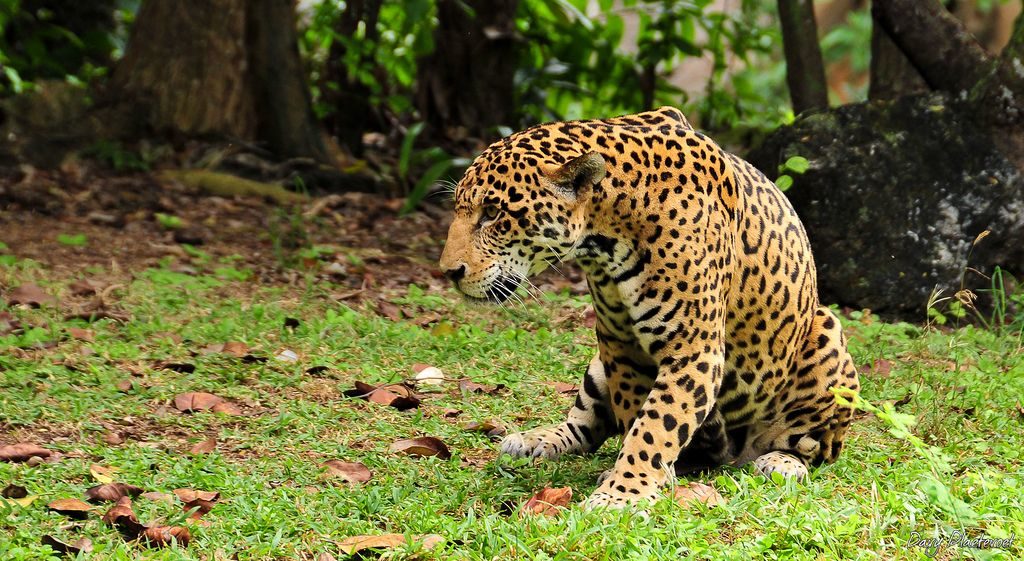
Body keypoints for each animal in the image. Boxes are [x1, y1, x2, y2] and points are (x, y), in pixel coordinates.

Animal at [438, 107, 860, 509]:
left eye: (493, 213)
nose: (449, 272)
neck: (608, 232)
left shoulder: (693, 349)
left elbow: (658, 424)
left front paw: (621, 494)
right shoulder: (620, 345)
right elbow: (635, 417)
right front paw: (637, 480)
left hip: (828, 337)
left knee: (815, 447)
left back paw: (780, 462)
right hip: (596, 366)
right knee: (585, 426)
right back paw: (534, 440)